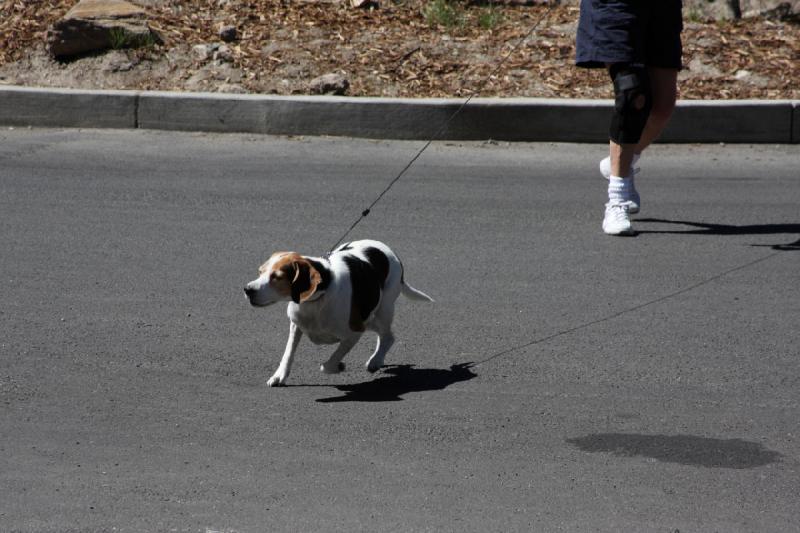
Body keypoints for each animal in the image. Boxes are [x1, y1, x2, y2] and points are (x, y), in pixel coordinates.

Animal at [242, 239, 432, 384]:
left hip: (382, 310)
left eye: (277, 277)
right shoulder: (296, 326)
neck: (318, 298)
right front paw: (279, 376)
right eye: (260, 272)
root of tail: (385, 248)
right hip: (370, 318)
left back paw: (376, 360)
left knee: (388, 336)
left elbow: (330, 362)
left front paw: (338, 366)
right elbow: (288, 353)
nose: (247, 289)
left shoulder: (354, 333)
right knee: (384, 335)